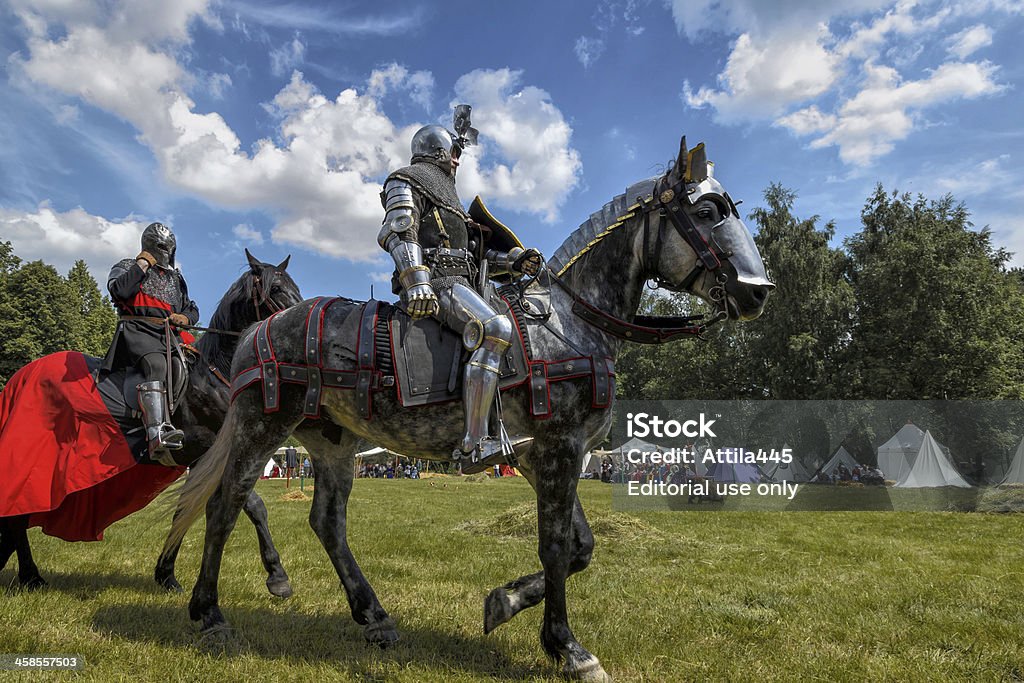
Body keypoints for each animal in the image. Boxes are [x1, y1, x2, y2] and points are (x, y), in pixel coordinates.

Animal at [0, 248, 301, 593]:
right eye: (274, 288)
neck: (215, 372)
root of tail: (18, 379)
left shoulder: (197, 460)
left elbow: (184, 511)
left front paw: (166, 573)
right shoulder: (210, 451)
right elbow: (251, 504)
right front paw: (277, 576)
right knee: (17, 516)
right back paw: (31, 575)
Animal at [169, 136, 774, 679]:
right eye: (707, 211)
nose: (758, 291)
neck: (570, 322)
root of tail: (259, 328)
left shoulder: (546, 457)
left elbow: (580, 547)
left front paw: (505, 603)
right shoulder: (558, 450)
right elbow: (557, 547)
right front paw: (566, 647)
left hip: (332, 443)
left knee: (327, 523)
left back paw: (373, 616)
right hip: (262, 426)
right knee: (226, 505)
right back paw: (211, 614)